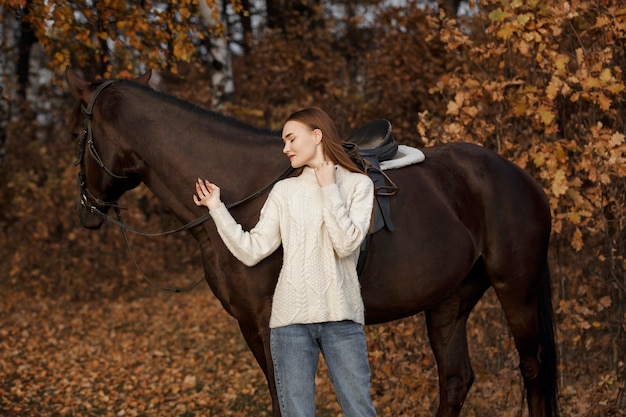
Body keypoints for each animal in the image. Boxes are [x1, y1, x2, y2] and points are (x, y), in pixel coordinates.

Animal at [66, 68, 560, 416]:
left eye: (75, 136)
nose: (86, 211)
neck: (245, 190)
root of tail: (521, 178)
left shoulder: (270, 325)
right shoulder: (251, 326)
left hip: (516, 288)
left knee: (532, 368)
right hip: (449, 300)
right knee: (456, 379)